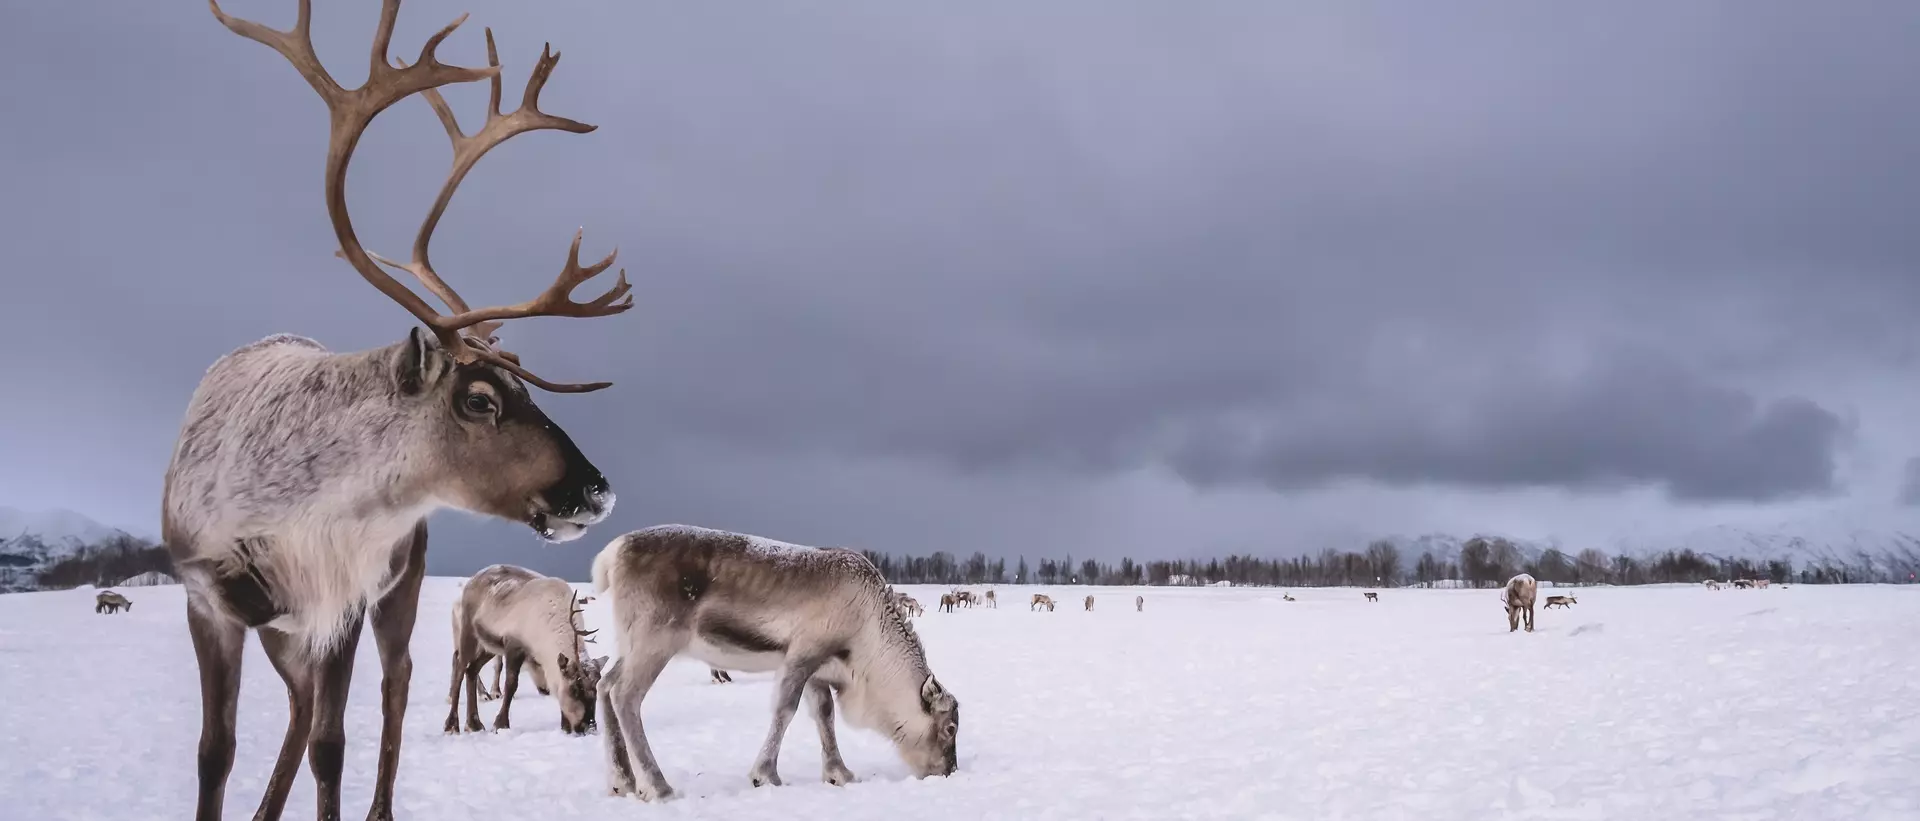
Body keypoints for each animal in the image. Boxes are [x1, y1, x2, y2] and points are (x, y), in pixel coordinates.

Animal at [445, 565, 605, 735]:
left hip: (488, 647)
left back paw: (474, 724)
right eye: (575, 689)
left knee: (472, 670)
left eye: (595, 691)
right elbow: (511, 684)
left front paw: (565, 726)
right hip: (468, 632)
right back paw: (452, 724)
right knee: (460, 667)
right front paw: (501, 724)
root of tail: (474, 577)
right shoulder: (514, 645)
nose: (589, 727)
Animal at [591, 525, 960, 801]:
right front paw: (765, 775)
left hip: (630, 644)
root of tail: (612, 553)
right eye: (950, 728)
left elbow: (824, 714)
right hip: (655, 640)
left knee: (604, 684)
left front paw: (838, 773)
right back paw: (658, 785)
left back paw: (622, 781)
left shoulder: (819, 670)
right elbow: (786, 708)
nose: (949, 771)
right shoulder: (802, 653)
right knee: (625, 696)